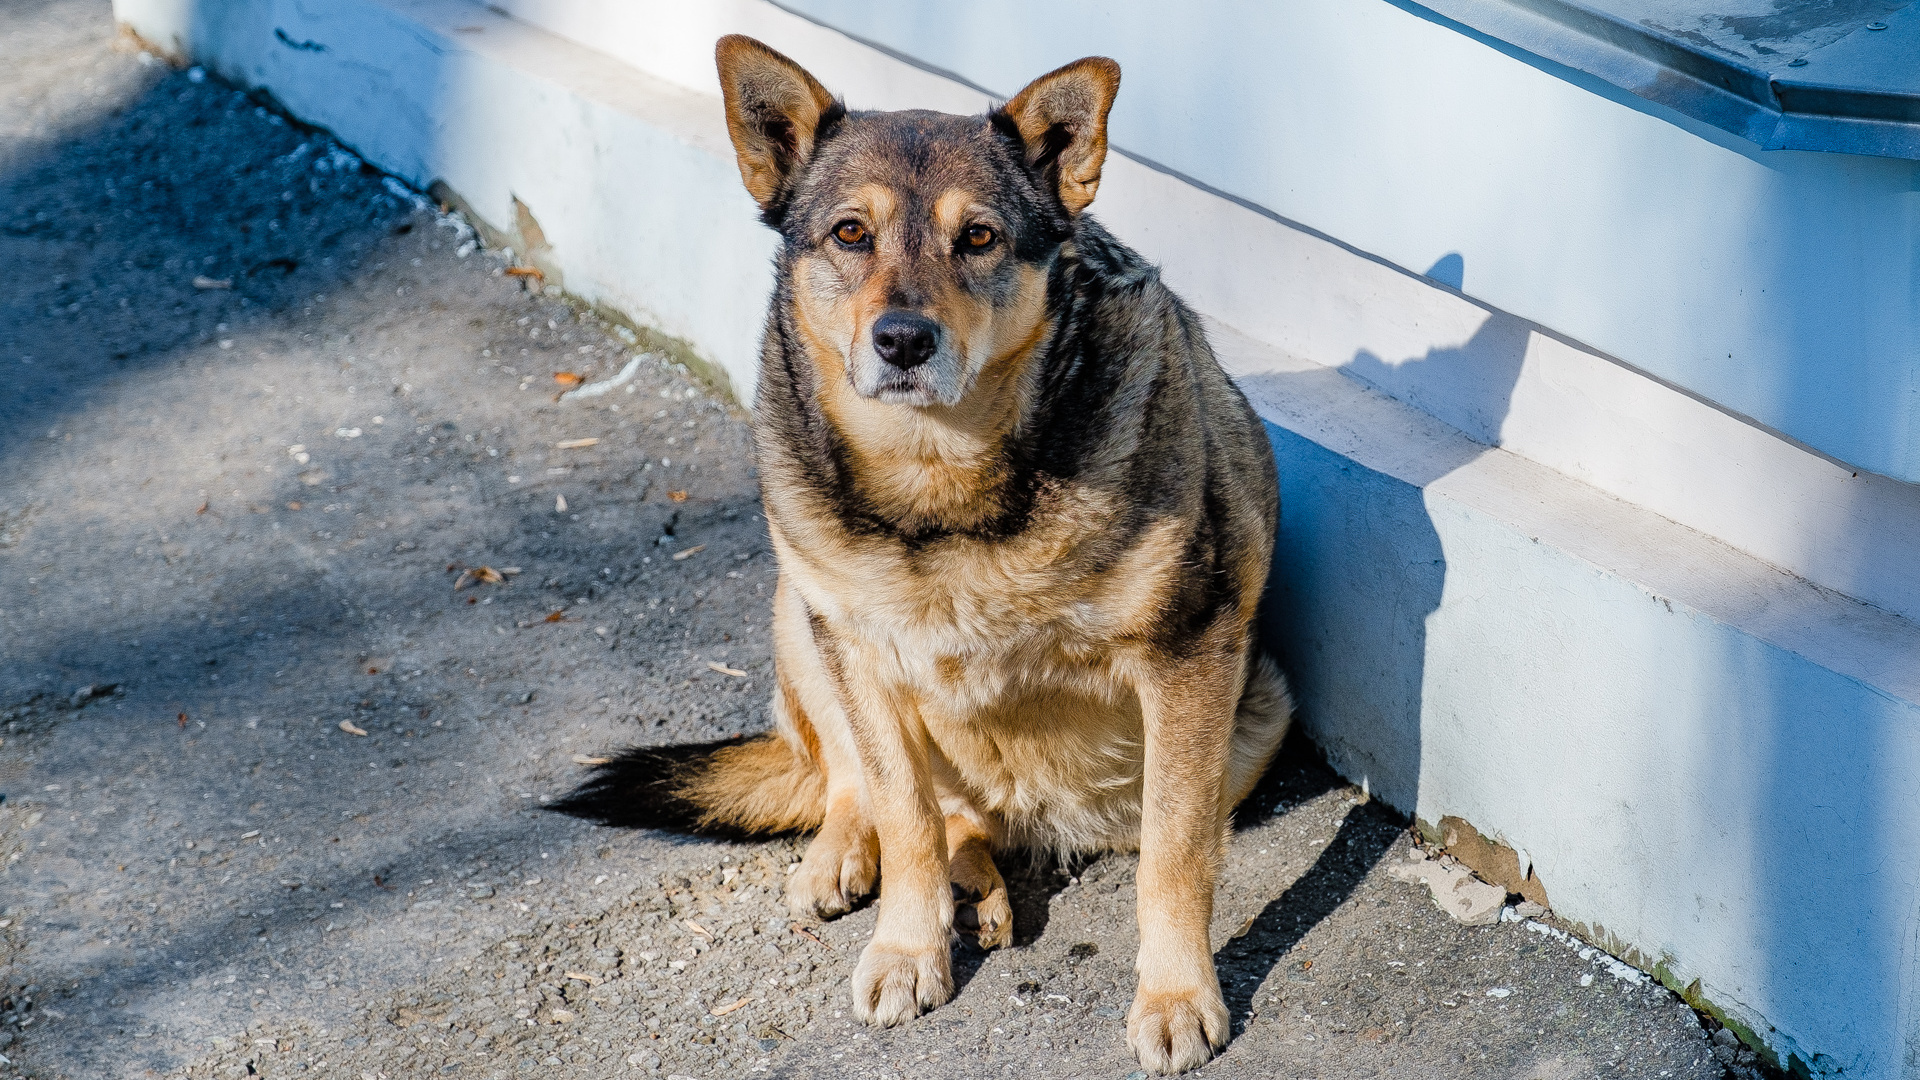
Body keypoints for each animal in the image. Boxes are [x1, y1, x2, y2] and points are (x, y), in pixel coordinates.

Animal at [560, 35, 1297, 1076]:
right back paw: (862, 857)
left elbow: (1174, 853)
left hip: (1257, 715)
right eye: (849, 234)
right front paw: (909, 948)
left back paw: (977, 881)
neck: (941, 485)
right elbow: (902, 814)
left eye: (979, 238)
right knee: (856, 781)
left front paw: (1176, 992)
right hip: (799, 605)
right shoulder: (858, 651)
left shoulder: (1190, 662)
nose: (903, 339)